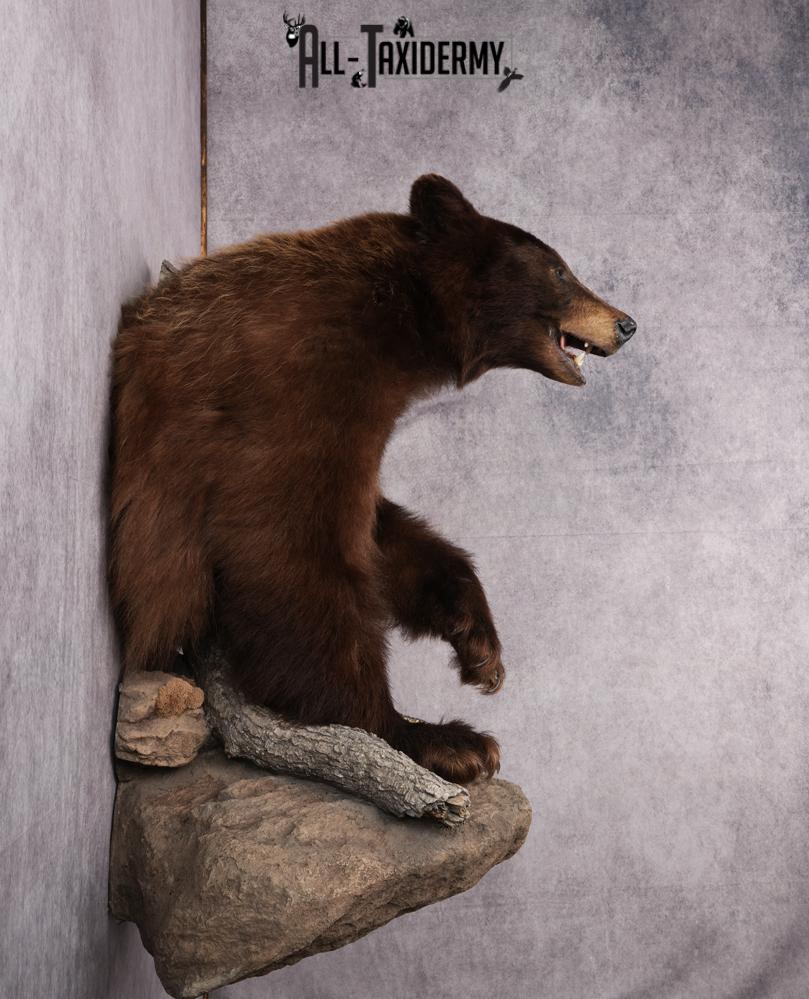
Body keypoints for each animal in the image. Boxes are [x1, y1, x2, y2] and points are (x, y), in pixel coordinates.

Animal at [108, 174, 636, 785]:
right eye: (559, 270)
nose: (626, 323)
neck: (399, 322)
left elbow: (382, 533)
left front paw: (479, 646)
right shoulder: (293, 386)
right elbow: (294, 554)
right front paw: (435, 737)